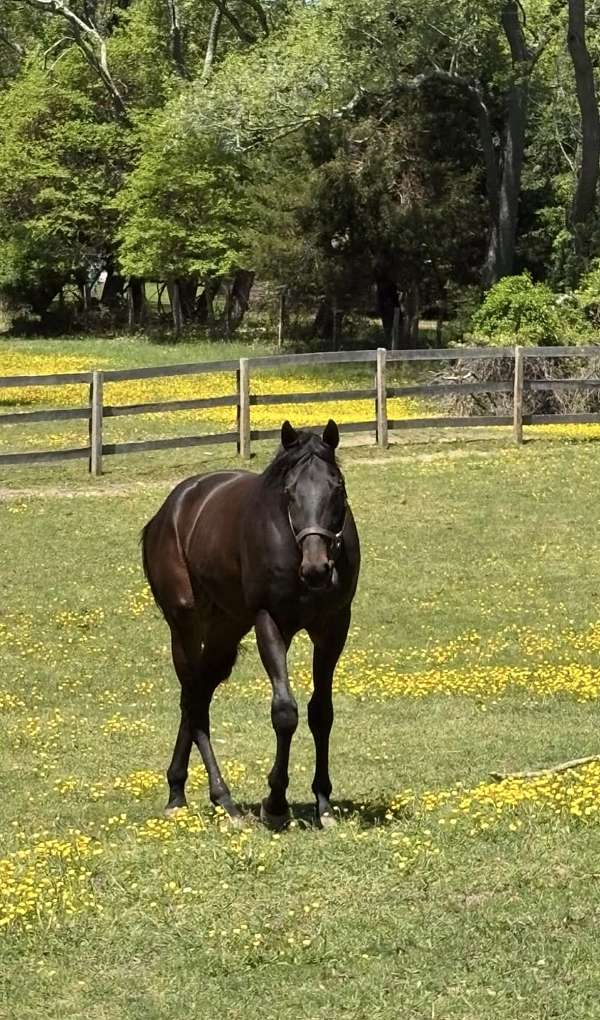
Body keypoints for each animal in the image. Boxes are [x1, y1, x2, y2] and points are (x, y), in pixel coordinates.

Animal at [141, 419, 361, 829]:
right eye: (289, 492)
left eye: (337, 486)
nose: (317, 569)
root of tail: (169, 511)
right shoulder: (269, 623)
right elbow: (285, 712)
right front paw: (274, 803)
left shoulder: (333, 626)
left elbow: (321, 712)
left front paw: (323, 803)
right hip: (185, 625)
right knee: (193, 700)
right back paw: (217, 799)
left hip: (225, 629)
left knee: (198, 695)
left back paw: (182, 792)